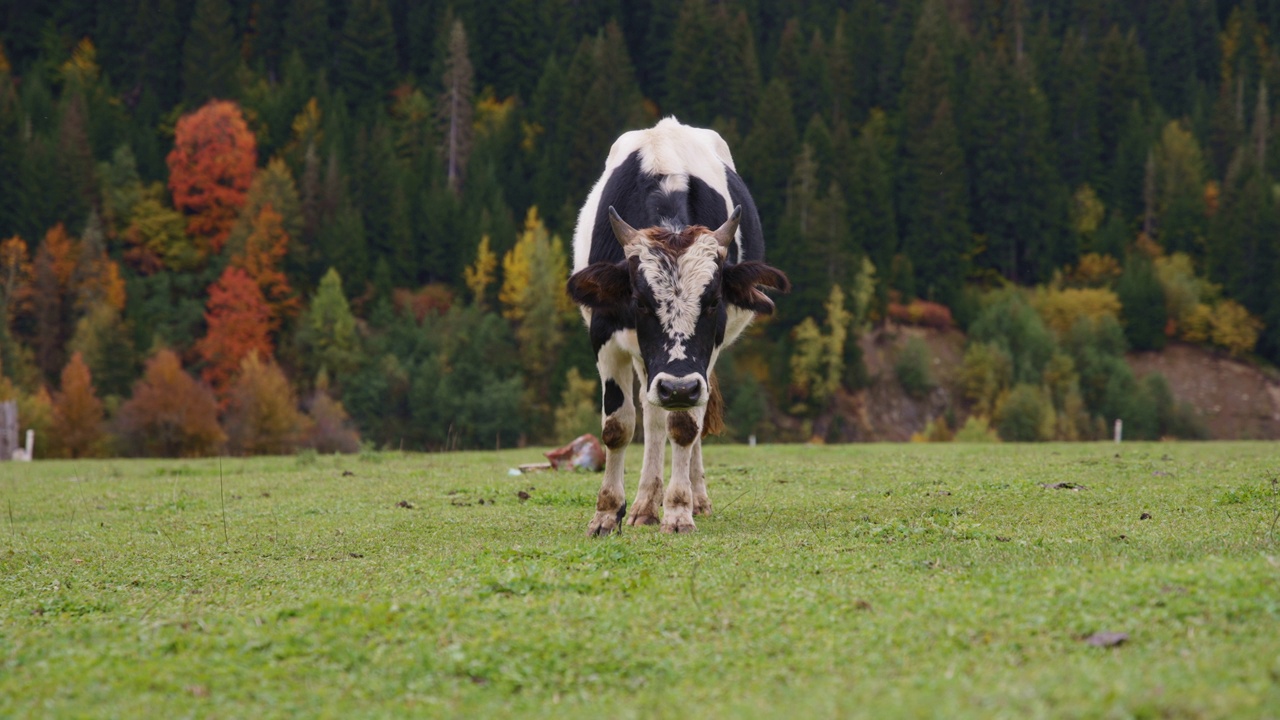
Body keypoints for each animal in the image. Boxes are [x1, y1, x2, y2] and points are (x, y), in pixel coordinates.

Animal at [570, 116, 788, 532]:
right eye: (639, 301)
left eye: (714, 301)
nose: (678, 387)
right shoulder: (605, 335)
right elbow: (618, 426)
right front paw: (607, 513)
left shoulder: (704, 356)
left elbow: (686, 426)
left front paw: (678, 509)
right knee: (653, 413)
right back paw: (643, 505)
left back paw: (692, 498)